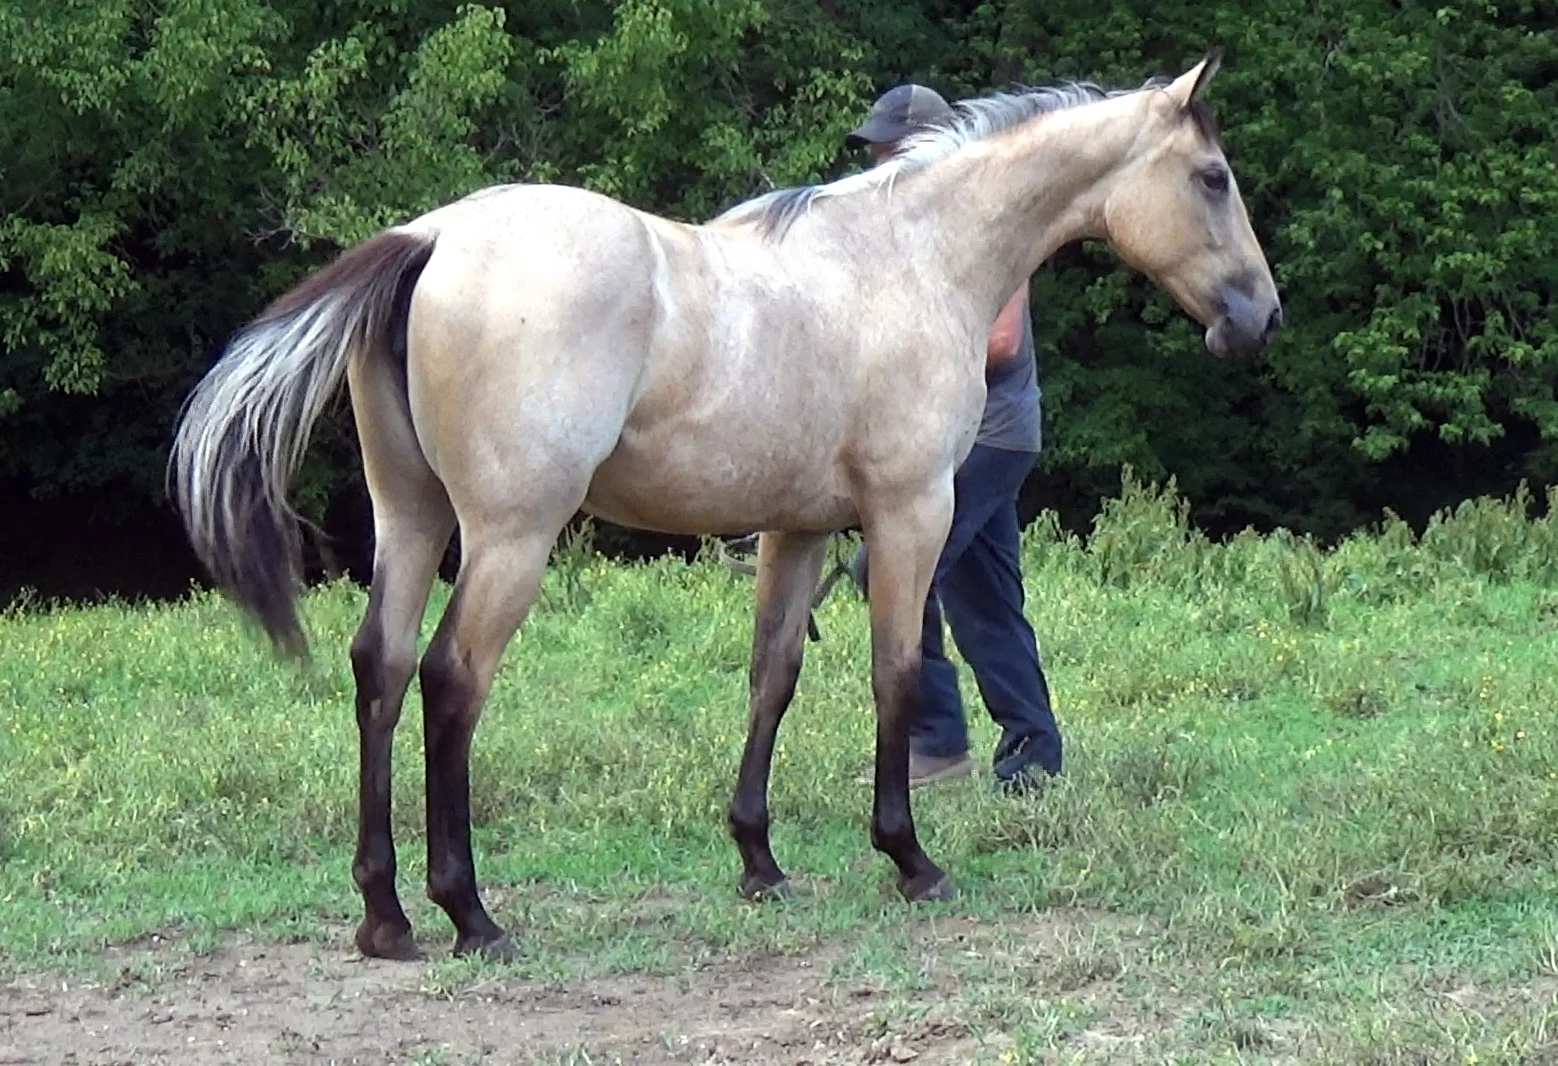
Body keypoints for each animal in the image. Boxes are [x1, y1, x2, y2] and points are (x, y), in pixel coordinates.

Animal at [168, 53, 1282, 962]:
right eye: (1213, 178)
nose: (1261, 318)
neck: (908, 258)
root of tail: (431, 238)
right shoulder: (910, 515)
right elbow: (894, 673)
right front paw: (909, 858)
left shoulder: (798, 530)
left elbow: (771, 678)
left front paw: (759, 861)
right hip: (508, 540)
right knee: (451, 681)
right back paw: (470, 915)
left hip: (414, 522)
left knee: (383, 669)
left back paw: (386, 917)